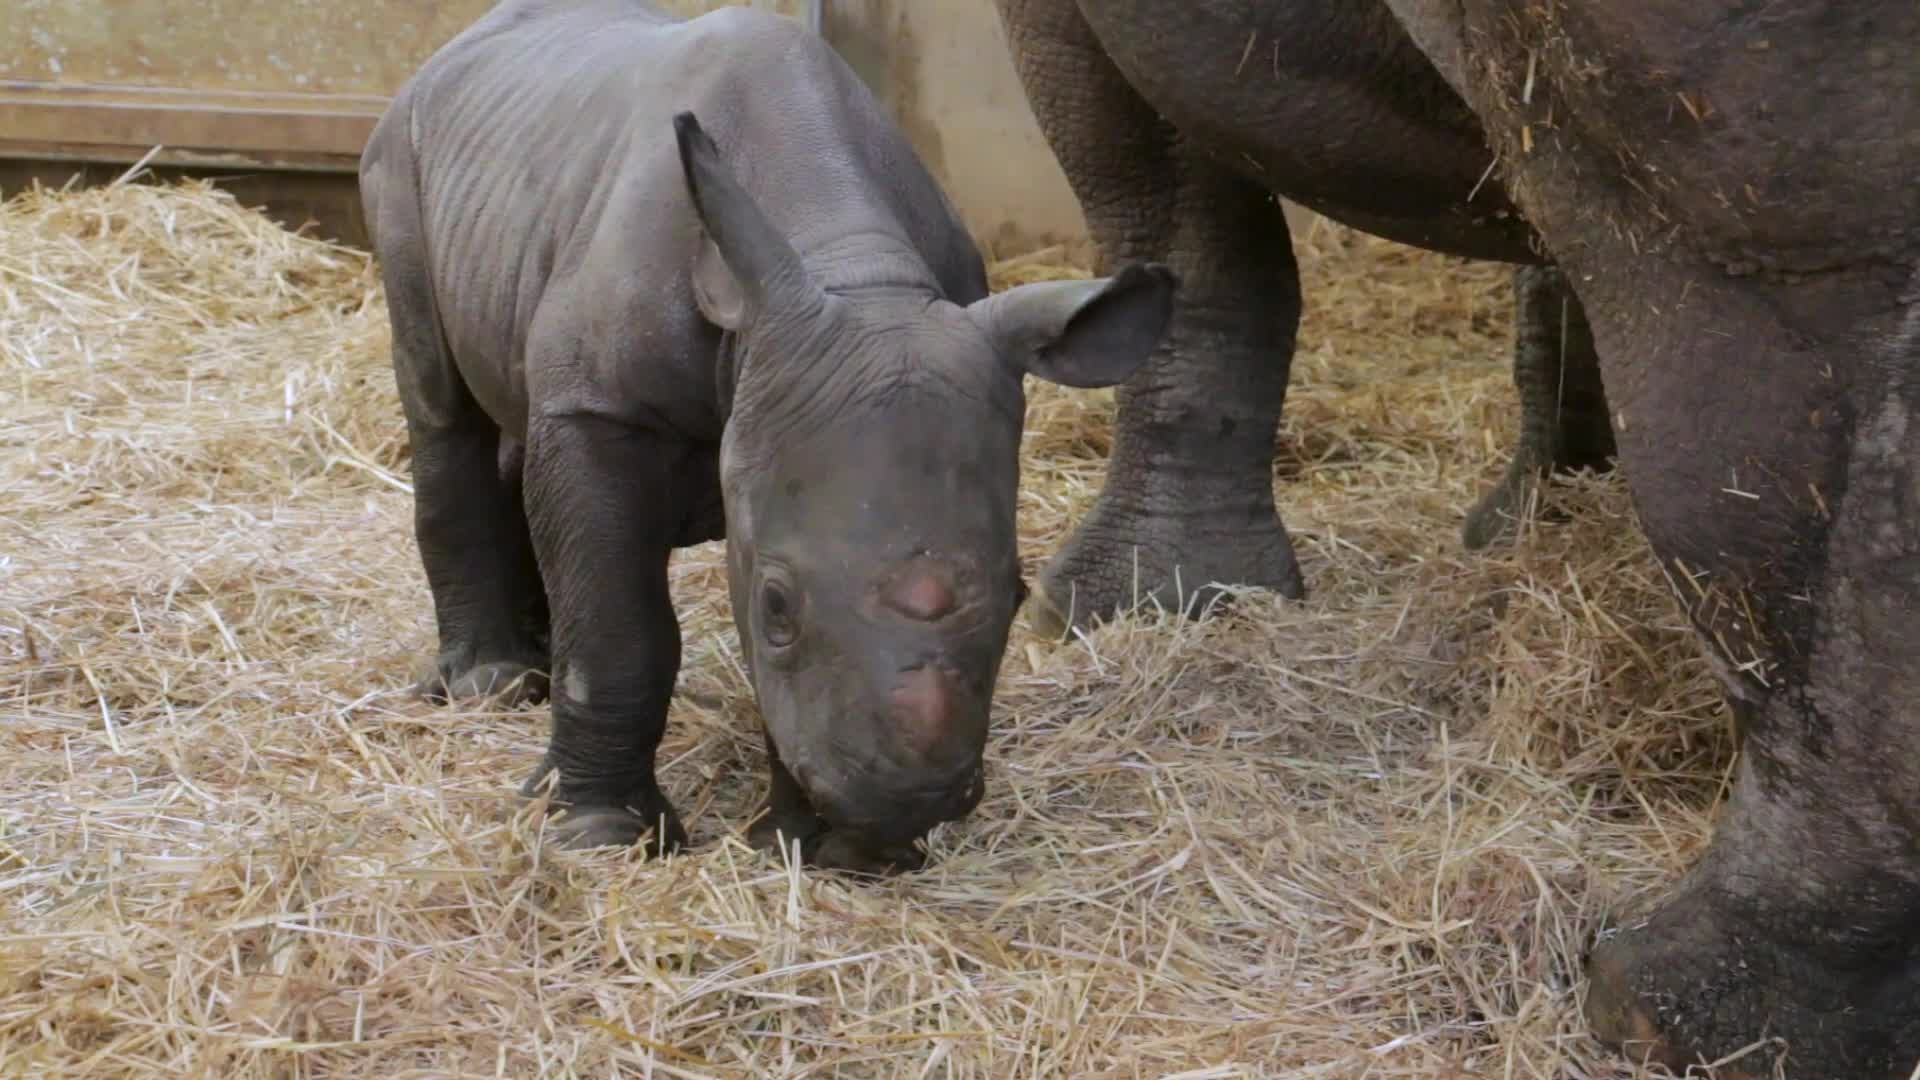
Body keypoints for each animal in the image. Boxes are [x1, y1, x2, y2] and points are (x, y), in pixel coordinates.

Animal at [357, 0, 1175, 874]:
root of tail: (453, 50)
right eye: (776, 603)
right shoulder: (600, 409)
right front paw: (603, 836)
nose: (905, 804)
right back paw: (494, 687)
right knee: (442, 405)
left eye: (1020, 596)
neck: (848, 265)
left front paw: (816, 849)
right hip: (399, 157)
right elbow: (618, 624)